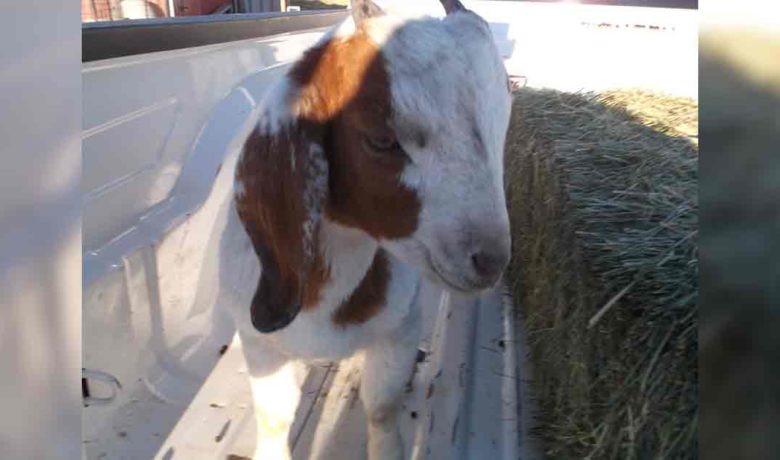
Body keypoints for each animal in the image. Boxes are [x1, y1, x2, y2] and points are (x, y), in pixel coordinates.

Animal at [218, 0, 512, 458]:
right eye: (381, 140)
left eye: (504, 122)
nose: (490, 260)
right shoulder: (261, 344)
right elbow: (274, 416)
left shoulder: (401, 327)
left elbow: (381, 406)